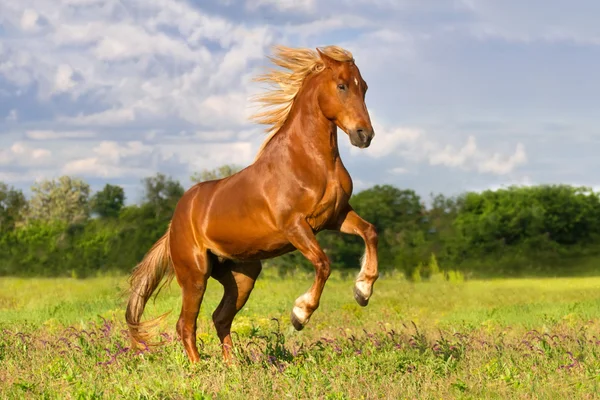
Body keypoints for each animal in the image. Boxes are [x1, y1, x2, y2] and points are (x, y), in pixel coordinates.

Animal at [125, 44, 380, 362]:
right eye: (342, 85)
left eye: (365, 87)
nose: (364, 135)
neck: (310, 161)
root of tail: (174, 223)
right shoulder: (296, 226)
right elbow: (323, 263)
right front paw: (300, 314)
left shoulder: (336, 216)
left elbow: (370, 232)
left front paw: (363, 290)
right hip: (195, 275)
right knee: (186, 324)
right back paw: (199, 367)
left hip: (242, 276)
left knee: (220, 318)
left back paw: (233, 365)